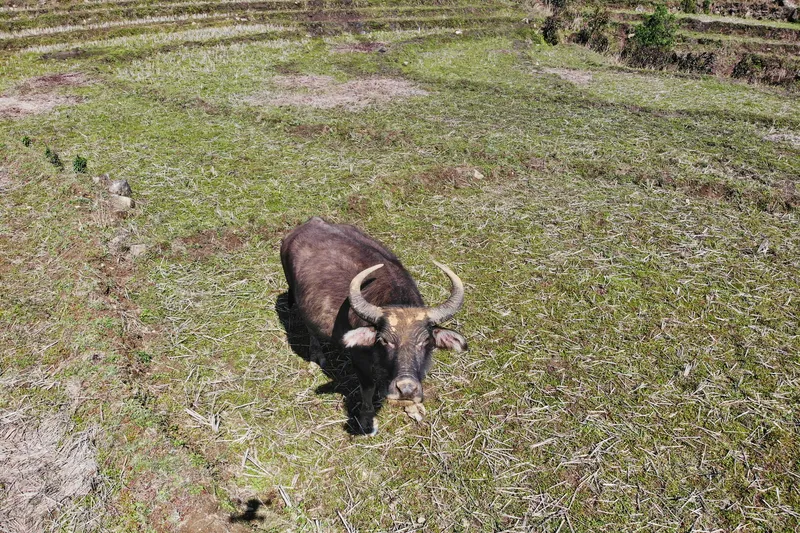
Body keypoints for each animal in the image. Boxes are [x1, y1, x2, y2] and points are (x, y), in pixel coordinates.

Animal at [282, 218, 468, 434]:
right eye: (384, 340)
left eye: (425, 341)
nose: (406, 388)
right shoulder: (359, 361)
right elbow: (368, 390)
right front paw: (366, 419)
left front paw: (413, 407)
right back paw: (316, 356)